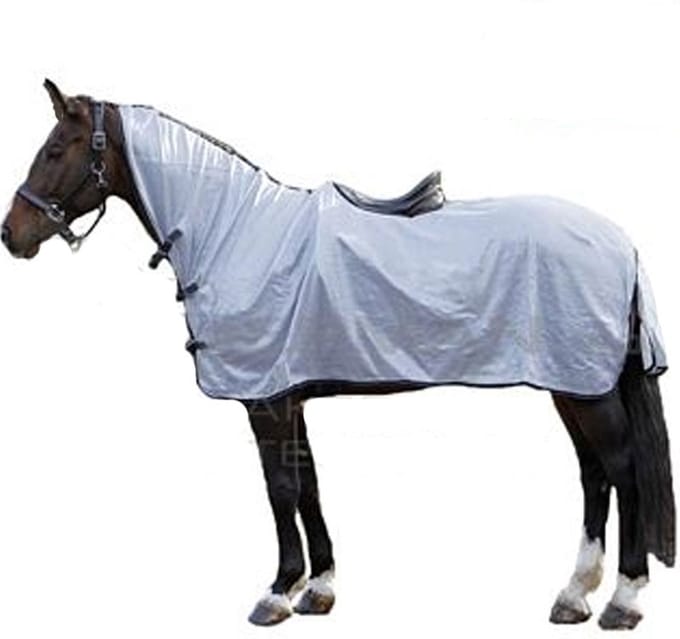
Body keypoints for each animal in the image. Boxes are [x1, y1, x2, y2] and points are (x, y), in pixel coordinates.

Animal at [2, 80, 675, 630]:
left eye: (56, 149)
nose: (12, 235)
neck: (234, 233)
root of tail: (621, 243)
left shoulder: (266, 403)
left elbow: (280, 488)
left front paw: (276, 593)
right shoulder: (288, 396)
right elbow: (308, 485)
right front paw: (318, 587)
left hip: (586, 390)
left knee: (622, 471)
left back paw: (622, 600)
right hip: (573, 386)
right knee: (594, 475)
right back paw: (574, 595)